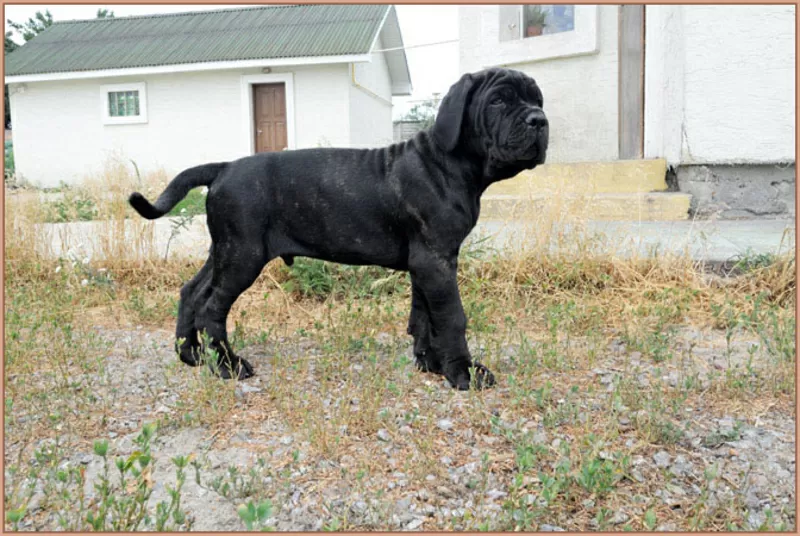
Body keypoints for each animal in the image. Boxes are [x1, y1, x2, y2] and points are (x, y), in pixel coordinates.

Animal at [128, 69, 548, 392]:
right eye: (498, 101)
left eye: (537, 98)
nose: (539, 120)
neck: (449, 163)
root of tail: (224, 166)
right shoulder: (437, 261)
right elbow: (451, 317)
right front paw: (463, 372)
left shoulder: (426, 262)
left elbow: (423, 315)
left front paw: (429, 362)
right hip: (242, 256)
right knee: (212, 307)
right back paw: (229, 366)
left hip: (226, 251)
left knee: (191, 292)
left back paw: (190, 355)